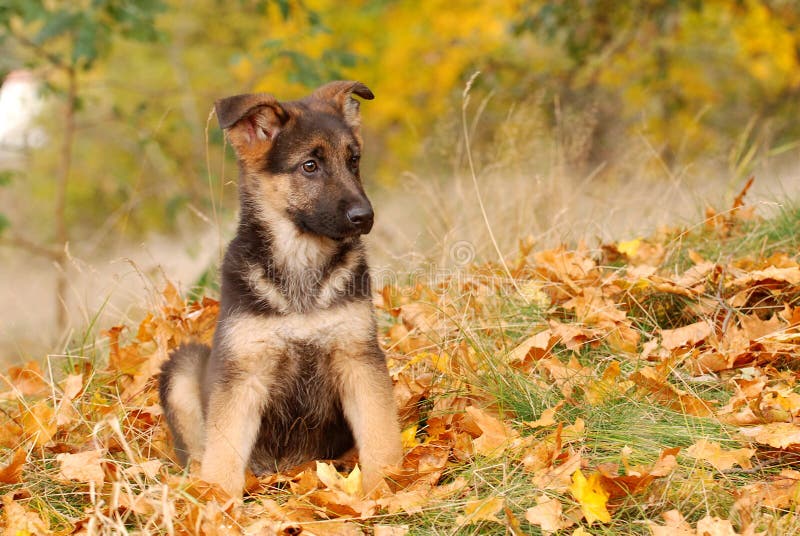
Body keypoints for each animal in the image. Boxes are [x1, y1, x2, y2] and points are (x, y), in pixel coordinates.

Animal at [159, 80, 404, 498]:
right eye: (310, 165)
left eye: (353, 161)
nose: (365, 217)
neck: (300, 260)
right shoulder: (242, 374)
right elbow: (223, 457)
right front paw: (216, 504)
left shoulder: (358, 357)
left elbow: (380, 435)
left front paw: (388, 490)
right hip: (184, 365)